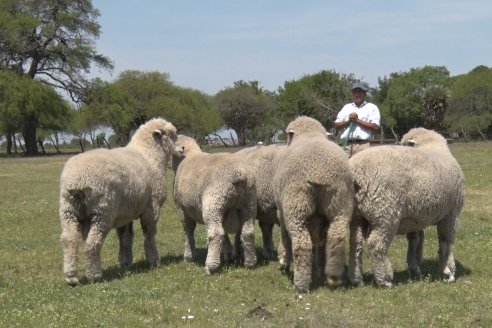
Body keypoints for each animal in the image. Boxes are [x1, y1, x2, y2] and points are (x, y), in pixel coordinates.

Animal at [57, 118, 181, 284]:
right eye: (172, 134)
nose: (182, 148)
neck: (150, 155)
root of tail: (78, 180)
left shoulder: (125, 213)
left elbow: (125, 238)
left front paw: (125, 262)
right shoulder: (152, 207)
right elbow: (149, 235)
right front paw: (154, 260)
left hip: (69, 211)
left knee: (68, 240)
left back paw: (71, 277)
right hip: (102, 213)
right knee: (92, 242)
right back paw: (94, 275)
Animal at [171, 134, 258, 274]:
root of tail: (239, 175)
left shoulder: (182, 208)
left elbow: (188, 231)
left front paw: (189, 256)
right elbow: (226, 234)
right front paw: (228, 254)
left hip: (213, 203)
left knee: (216, 233)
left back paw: (211, 266)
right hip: (248, 202)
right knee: (247, 231)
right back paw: (250, 263)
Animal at [270, 116, 356, 294]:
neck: (309, 134)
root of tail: (320, 172)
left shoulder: (281, 212)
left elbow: (284, 237)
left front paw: (283, 262)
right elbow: (320, 243)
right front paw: (318, 269)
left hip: (296, 206)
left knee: (302, 244)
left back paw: (301, 285)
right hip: (339, 203)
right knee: (336, 238)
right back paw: (333, 278)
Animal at [348, 127, 464, 286]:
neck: (431, 145)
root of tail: (356, 173)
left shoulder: (415, 218)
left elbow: (415, 241)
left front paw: (414, 267)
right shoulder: (451, 215)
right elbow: (445, 243)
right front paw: (448, 271)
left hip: (357, 215)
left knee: (356, 243)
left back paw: (357, 279)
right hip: (385, 214)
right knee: (376, 244)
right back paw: (384, 280)